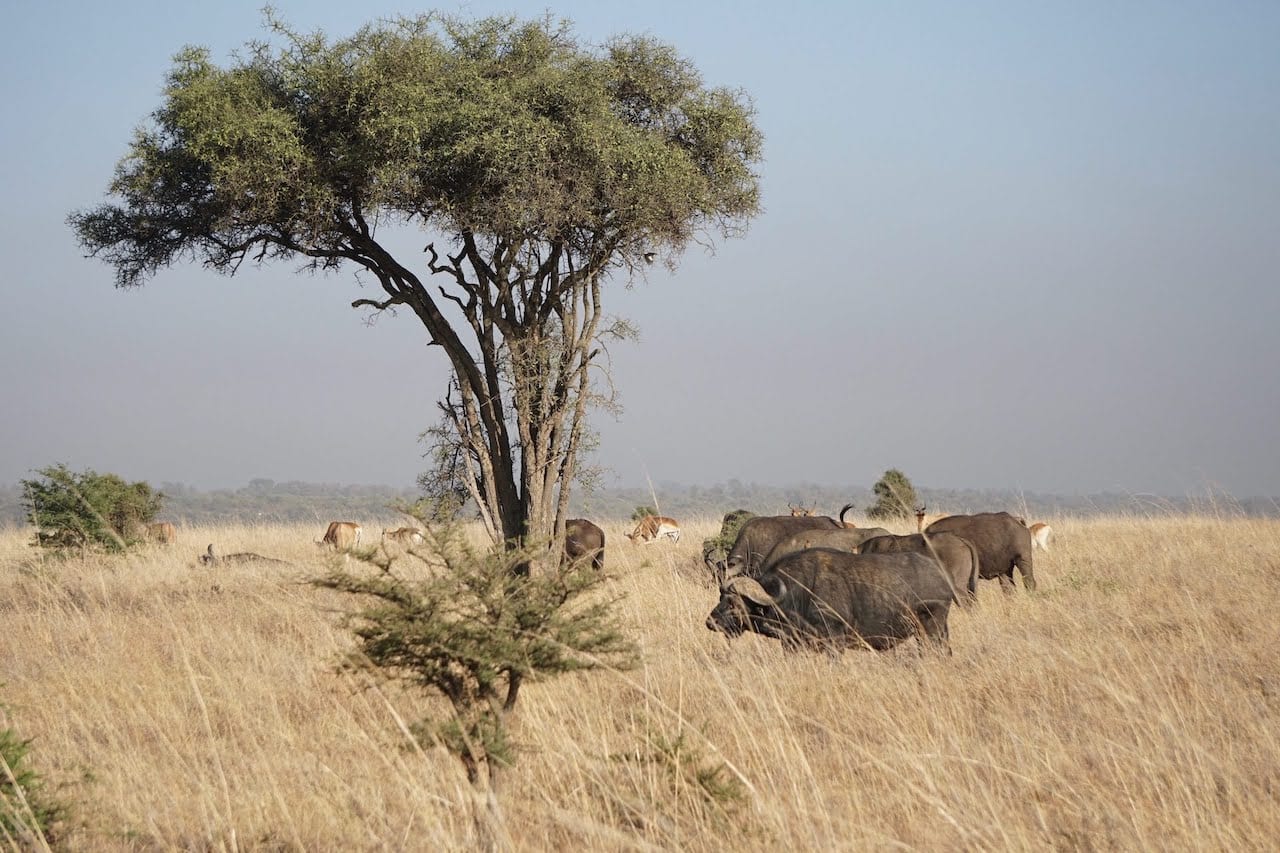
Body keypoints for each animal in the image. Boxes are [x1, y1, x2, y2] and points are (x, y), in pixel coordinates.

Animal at [706, 545, 957, 650]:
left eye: (734, 602)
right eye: (720, 596)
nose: (710, 622)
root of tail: (940, 575)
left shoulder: (834, 643)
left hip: (931, 630)